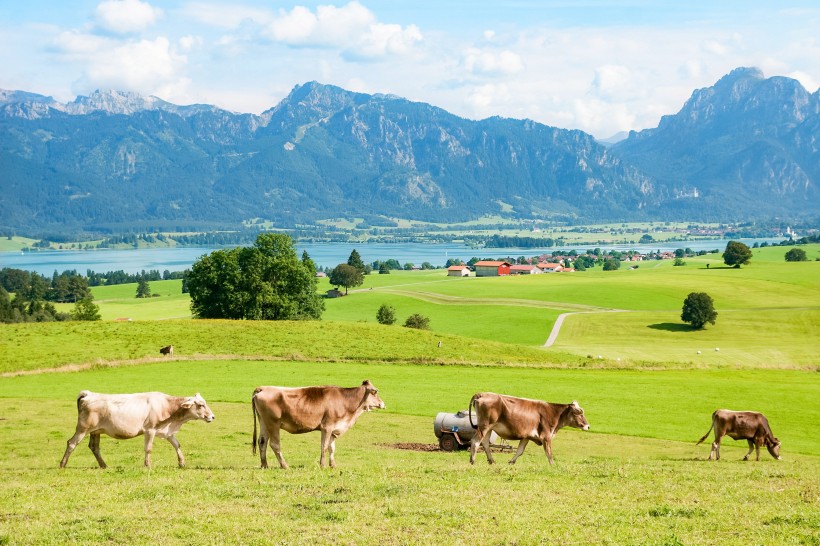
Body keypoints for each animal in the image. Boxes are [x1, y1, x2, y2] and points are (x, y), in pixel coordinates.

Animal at [60, 386, 215, 468]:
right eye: (201, 405)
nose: (212, 416)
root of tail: (89, 394)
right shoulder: (150, 430)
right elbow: (148, 448)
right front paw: (148, 465)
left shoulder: (167, 431)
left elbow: (177, 445)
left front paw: (182, 463)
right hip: (82, 429)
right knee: (71, 443)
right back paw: (62, 464)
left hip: (95, 431)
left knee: (94, 447)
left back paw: (103, 465)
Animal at [251, 378, 386, 468]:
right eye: (375, 392)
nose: (383, 404)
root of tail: (263, 388)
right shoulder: (327, 427)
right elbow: (324, 446)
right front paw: (323, 465)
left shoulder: (333, 429)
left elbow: (332, 448)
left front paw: (333, 465)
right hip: (273, 424)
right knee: (275, 444)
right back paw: (284, 465)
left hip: (264, 423)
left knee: (262, 442)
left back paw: (264, 465)